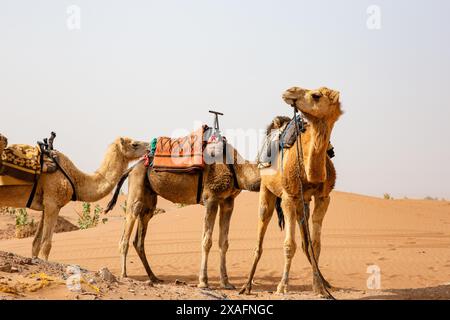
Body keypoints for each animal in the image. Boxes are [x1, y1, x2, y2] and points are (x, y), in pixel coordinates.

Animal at [0, 137, 149, 260]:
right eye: (134, 144)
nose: (149, 146)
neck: (75, 178)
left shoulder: (45, 205)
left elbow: (36, 243)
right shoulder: (52, 203)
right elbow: (46, 244)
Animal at [106, 139, 274, 288]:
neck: (236, 168)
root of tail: (132, 168)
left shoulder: (228, 201)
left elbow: (223, 243)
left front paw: (226, 283)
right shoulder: (211, 198)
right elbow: (206, 241)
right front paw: (203, 282)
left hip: (149, 200)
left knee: (139, 238)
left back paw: (153, 277)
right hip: (136, 190)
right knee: (126, 232)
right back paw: (124, 275)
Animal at [241, 85, 342, 296]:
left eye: (316, 95)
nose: (290, 91)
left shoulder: (323, 197)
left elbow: (315, 245)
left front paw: (320, 287)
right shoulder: (288, 197)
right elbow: (289, 245)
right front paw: (282, 286)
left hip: (302, 203)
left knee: (305, 242)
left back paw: (325, 282)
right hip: (267, 190)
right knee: (260, 237)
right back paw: (246, 285)